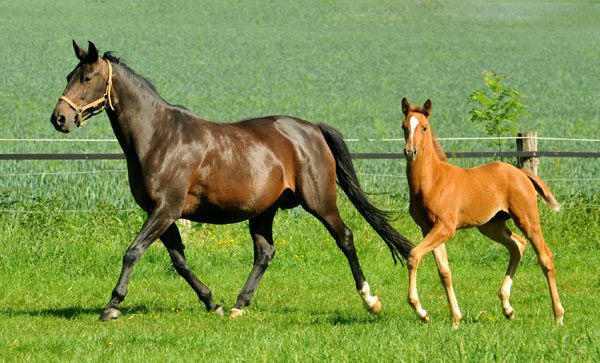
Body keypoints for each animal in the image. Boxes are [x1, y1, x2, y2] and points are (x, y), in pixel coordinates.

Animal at [50, 40, 412, 322]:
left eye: (87, 77)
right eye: (69, 76)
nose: (59, 118)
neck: (159, 137)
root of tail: (311, 129)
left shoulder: (165, 210)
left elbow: (133, 252)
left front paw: (112, 305)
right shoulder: (161, 213)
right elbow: (179, 262)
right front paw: (213, 303)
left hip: (319, 201)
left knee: (345, 238)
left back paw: (370, 300)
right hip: (264, 211)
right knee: (265, 253)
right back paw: (239, 304)